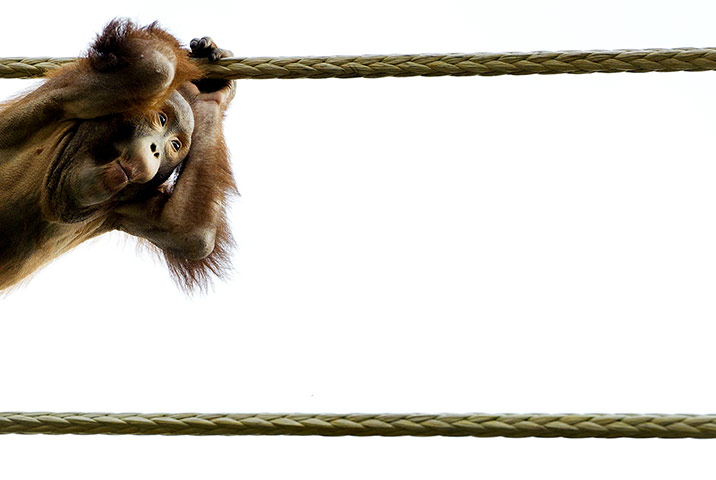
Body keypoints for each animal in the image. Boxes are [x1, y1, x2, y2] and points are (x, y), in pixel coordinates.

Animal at [0, 19, 237, 293]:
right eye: (161, 119)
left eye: (175, 145)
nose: (156, 149)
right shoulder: (72, 93)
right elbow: (154, 69)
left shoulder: (123, 208)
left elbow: (187, 232)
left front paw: (209, 91)